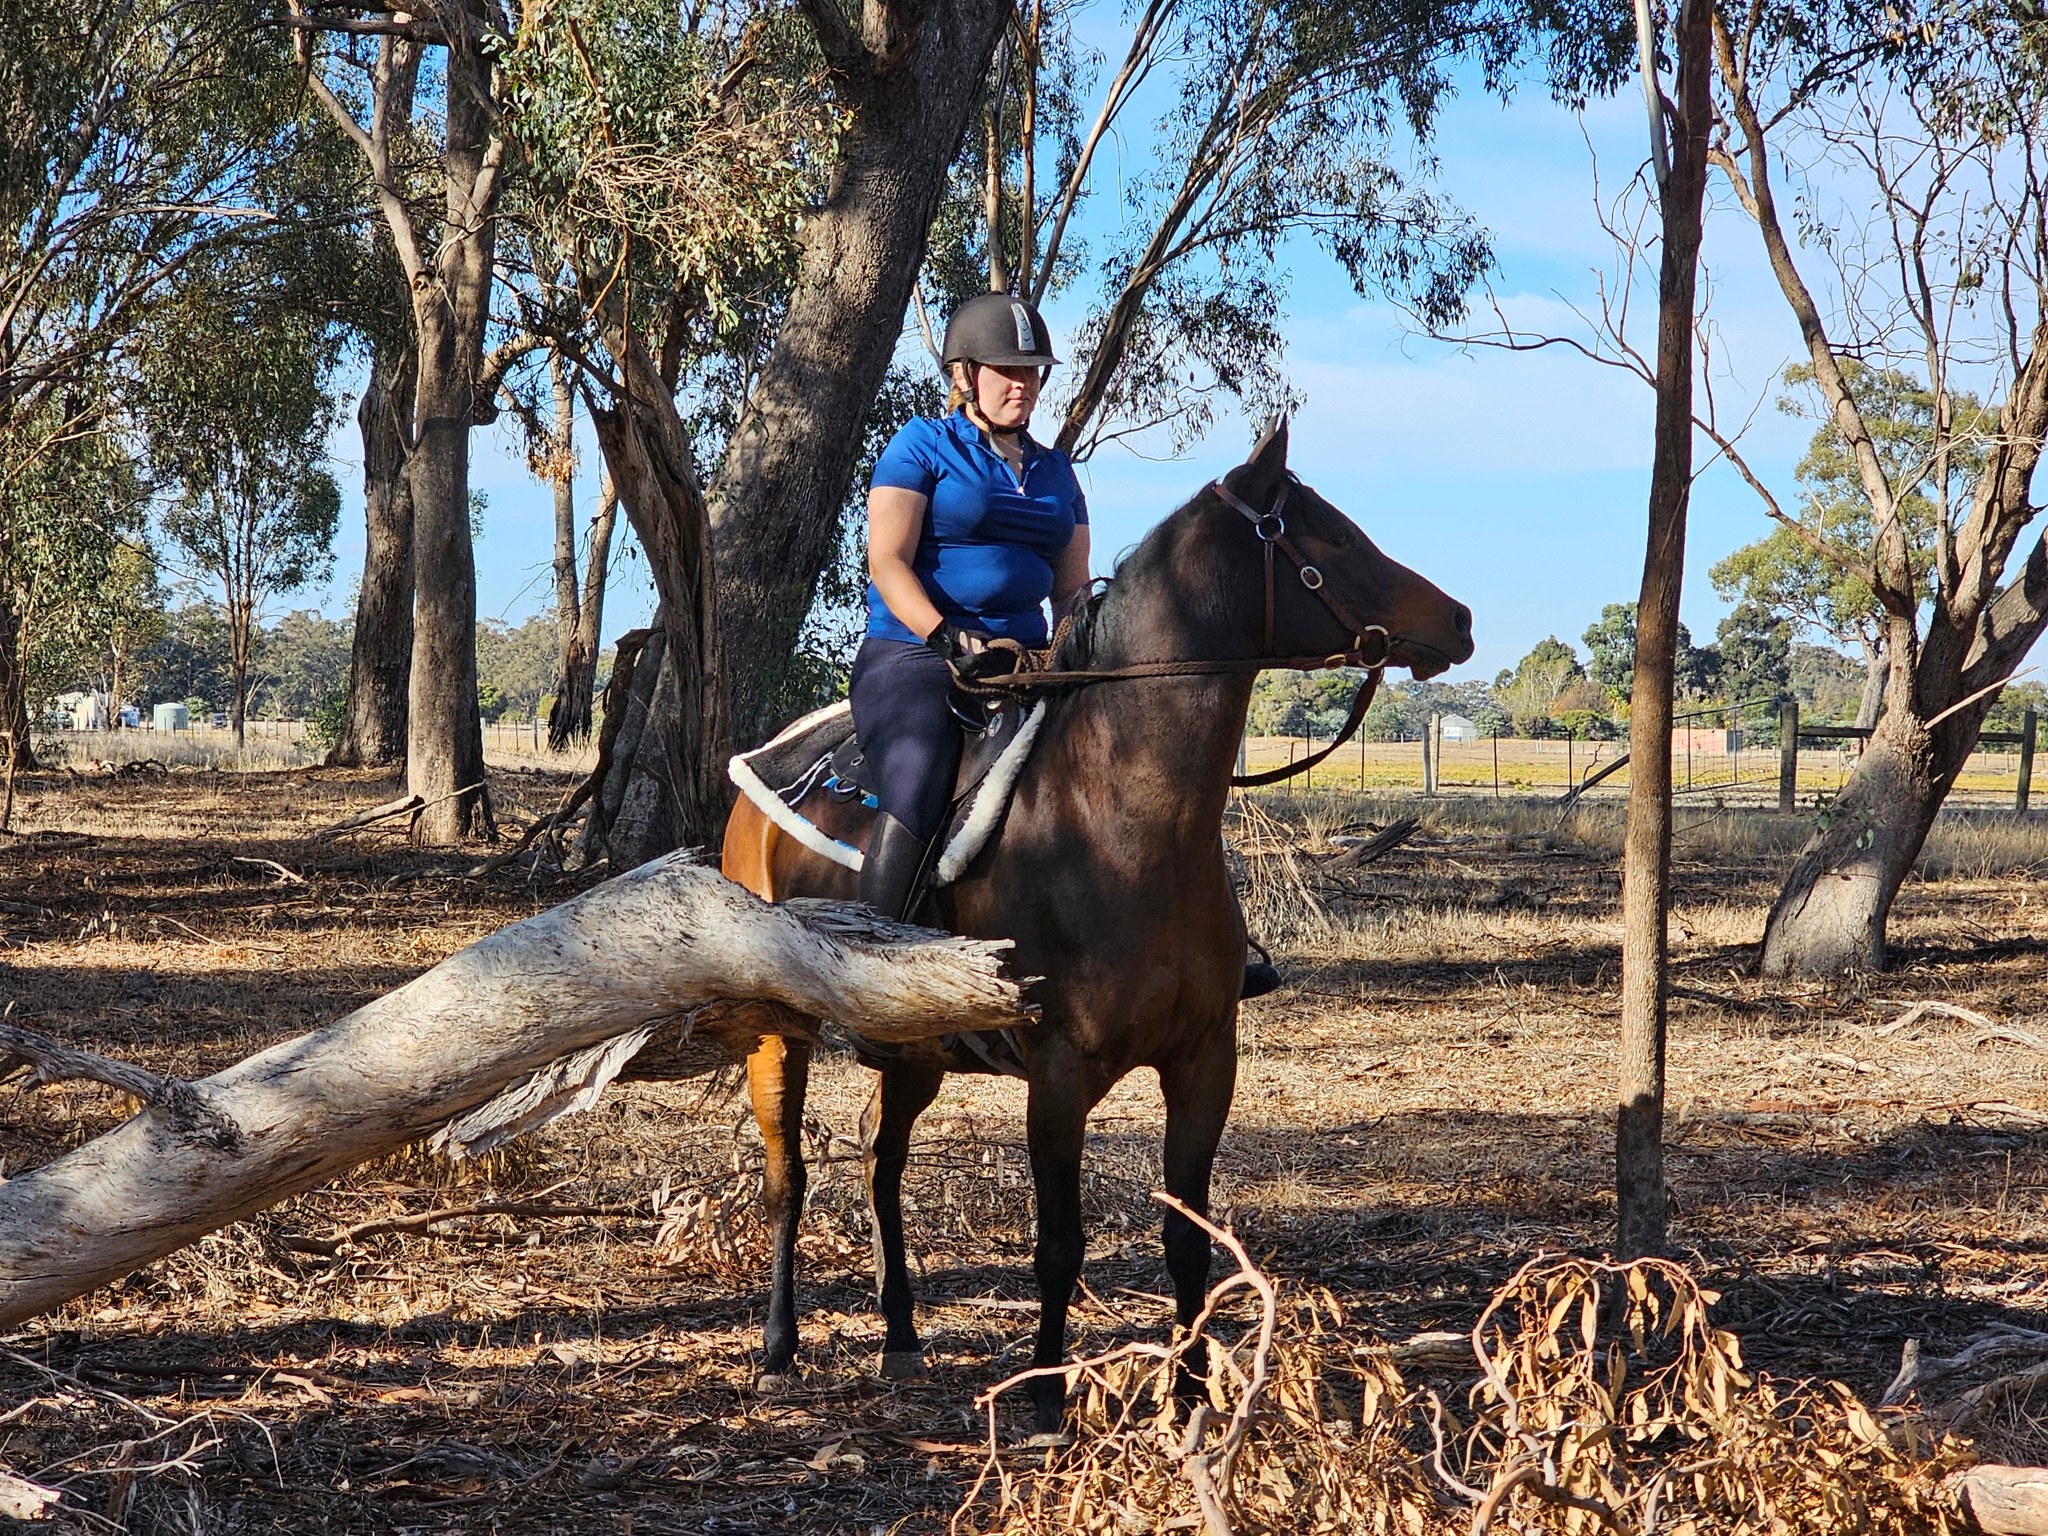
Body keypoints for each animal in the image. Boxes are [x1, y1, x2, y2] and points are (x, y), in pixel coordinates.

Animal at [720, 420, 1474, 1435]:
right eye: (1334, 537)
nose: (1459, 619)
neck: (1120, 818)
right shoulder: (1059, 1073)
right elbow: (1059, 1244)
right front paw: (1045, 1397)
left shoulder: (1204, 1059)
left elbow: (1187, 1241)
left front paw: (1189, 1398)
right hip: (776, 1036)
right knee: (787, 1179)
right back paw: (777, 1348)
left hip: (917, 1052)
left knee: (883, 1166)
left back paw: (903, 1338)